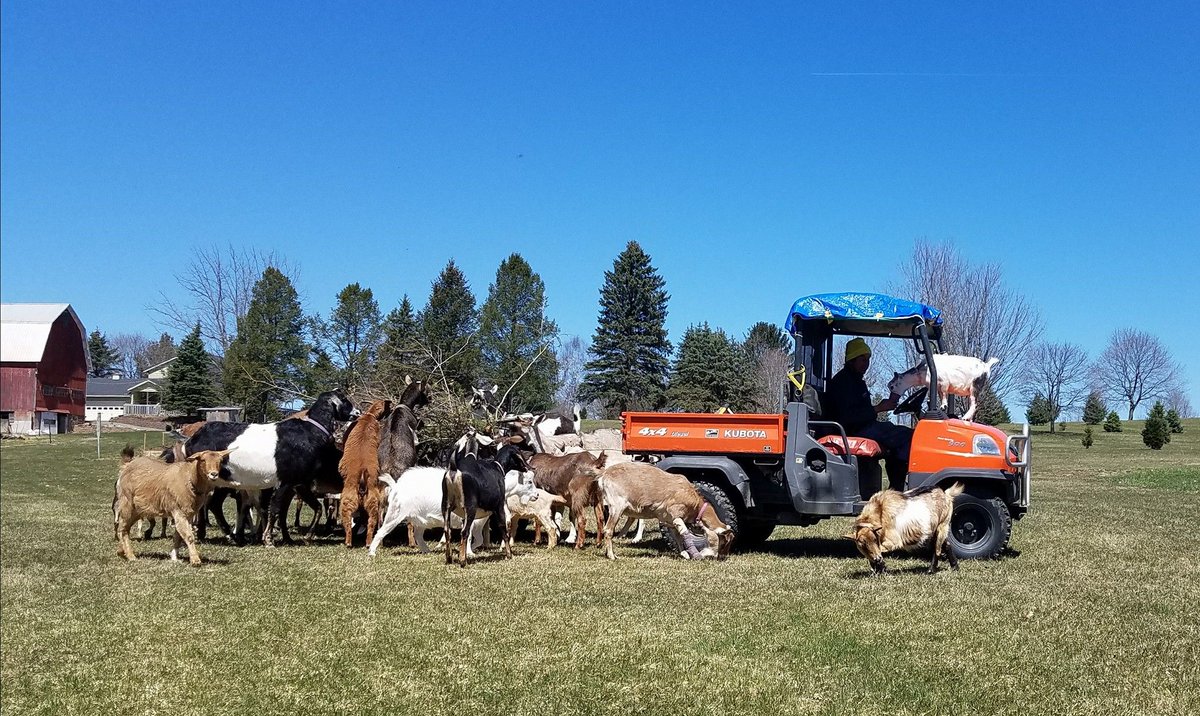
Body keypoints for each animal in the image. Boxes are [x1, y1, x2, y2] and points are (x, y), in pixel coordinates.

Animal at [598, 462, 734, 561]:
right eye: (723, 543)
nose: (722, 557)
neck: (695, 504)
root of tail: (605, 475)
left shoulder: (670, 520)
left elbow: (678, 537)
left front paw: (684, 554)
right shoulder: (676, 514)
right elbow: (684, 532)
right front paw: (695, 555)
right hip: (617, 507)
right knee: (608, 530)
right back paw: (612, 555)